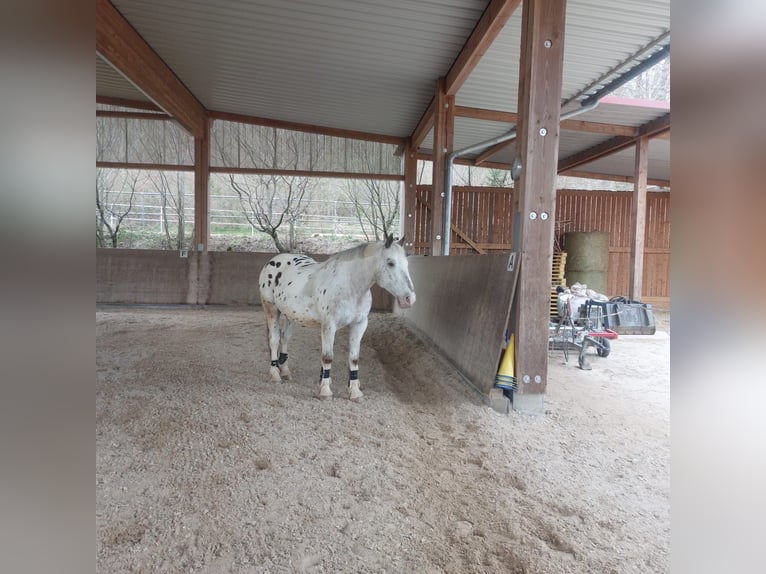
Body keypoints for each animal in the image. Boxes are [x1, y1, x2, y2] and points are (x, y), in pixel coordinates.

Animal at [258, 234, 416, 401]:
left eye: (406, 263)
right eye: (391, 263)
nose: (409, 299)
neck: (350, 286)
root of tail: (273, 261)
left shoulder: (360, 324)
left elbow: (354, 358)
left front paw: (354, 391)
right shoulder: (329, 325)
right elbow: (327, 357)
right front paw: (325, 391)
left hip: (290, 315)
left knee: (285, 338)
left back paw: (285, 371)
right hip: (271, 310)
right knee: (274, 340)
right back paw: (275, 374)